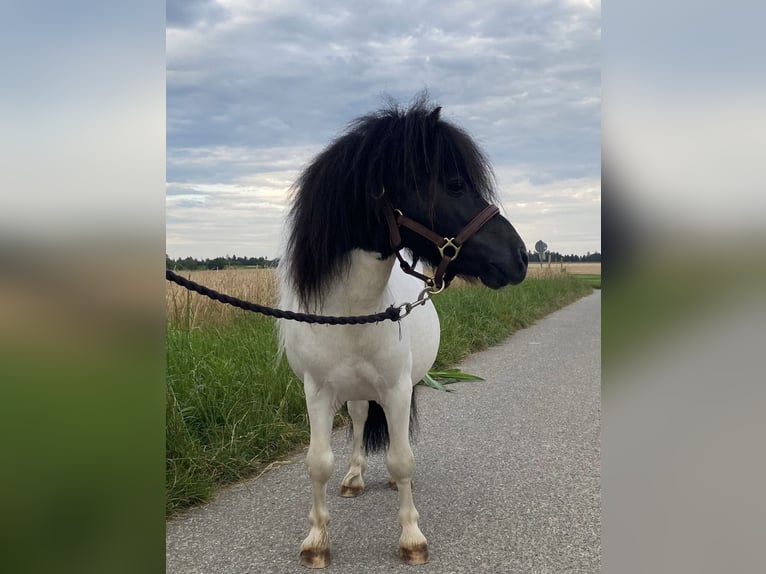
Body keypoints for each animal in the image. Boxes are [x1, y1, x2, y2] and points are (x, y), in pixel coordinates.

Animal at [280, 97, 532, 568]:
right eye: (454, 184)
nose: (521, 257)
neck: (350, 313)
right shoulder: (316, 390)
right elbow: (318, 462)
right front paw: (317, 541)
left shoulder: (397, 388)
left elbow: (401, 459)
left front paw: (412, 537)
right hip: (354, 390)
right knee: (361, 420)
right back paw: (355, 477)